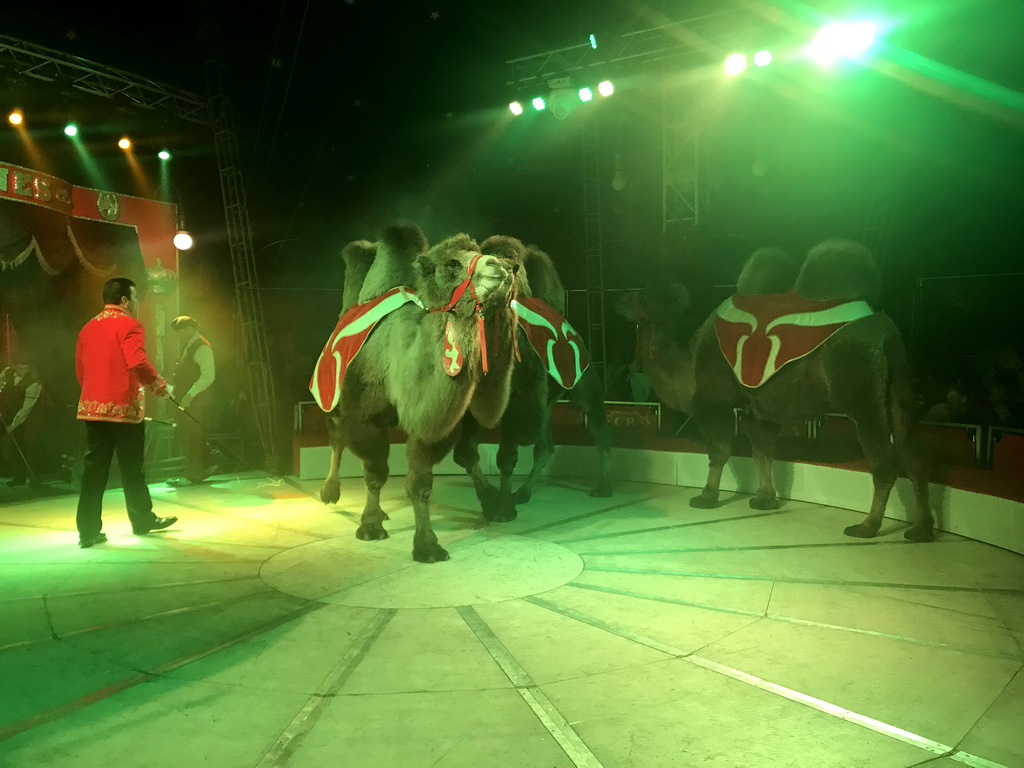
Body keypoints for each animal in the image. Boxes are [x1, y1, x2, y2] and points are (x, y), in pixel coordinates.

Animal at [311, 222, 520, 565]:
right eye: (452, 264)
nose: (501, 266)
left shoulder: (433, 425)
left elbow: (420, 482)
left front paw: (427, 545)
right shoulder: (366, 417)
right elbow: (375, 473)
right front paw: (370, 525)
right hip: (334, 397)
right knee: (336, 438)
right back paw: (330, 492)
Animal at [454, 236, 610, 524]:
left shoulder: (517, 405)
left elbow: (506, 458)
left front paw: (503, 508)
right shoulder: (472, 409)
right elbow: (466, 454)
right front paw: (491, 502)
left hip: (583, 381)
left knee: (597, 426)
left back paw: (604, 487)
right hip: (545, 405)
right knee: (545, 446)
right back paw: (523, 493)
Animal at [614, 240, 937, 540]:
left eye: (643, 295)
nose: (619, 299)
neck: (688, 363)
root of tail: (884, 330)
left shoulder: (713, 403)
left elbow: (719, 450)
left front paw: (706, 497)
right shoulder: (756, 409)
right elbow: (763, 453)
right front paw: (764, 500)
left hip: (858, 386)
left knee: (884, 460)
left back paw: (867, 526)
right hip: (899, 387)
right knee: (912, 453)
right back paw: (921, 529)